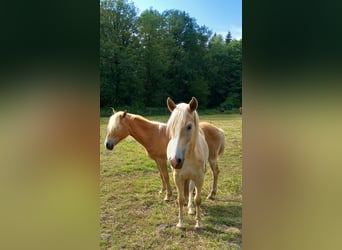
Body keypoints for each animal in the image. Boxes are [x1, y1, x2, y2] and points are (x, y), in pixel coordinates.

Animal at [166, 96, 208, 229]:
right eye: (171, 127)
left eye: (189, 126)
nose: (175, 161)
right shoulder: (178, 177)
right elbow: (180, 199)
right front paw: (180, 223)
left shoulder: (199, 177)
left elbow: (197, 199)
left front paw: (198, 223)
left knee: (190, 190)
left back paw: (190, 209)